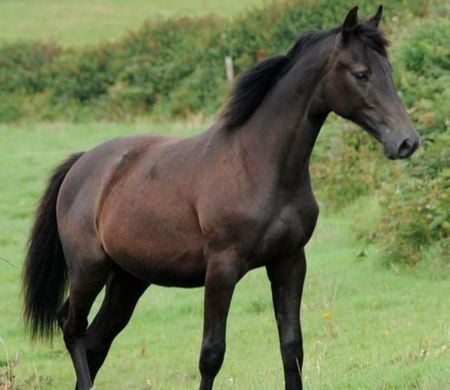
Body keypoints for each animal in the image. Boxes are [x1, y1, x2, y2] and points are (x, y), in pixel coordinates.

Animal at [23, 6, 418, 390]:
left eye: (388, 70)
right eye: (361, 74)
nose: (406, 142)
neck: (257, 165)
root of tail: (82, 164)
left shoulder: (290, 262)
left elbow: (291, 346)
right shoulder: (221, 270)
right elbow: (211, 354)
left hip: (127, 281)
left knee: (95, 343)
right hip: (88, 270)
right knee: (72, 328)